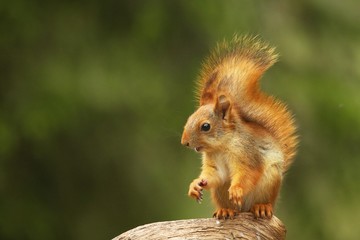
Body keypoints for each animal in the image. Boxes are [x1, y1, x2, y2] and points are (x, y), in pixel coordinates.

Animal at [181, 34, 296, 218]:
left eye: (205, 126)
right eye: (189, 118)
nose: (184, 142)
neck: (222, 146)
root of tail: (244, 209)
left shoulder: (248, 154)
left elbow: (248, 174)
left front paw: (236, 189)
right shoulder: (214, 164)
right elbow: (214, 175)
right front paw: (195, 184)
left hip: (270, 181)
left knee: (263, 202)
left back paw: (262, 207)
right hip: (220, 191)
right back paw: (225, 210)